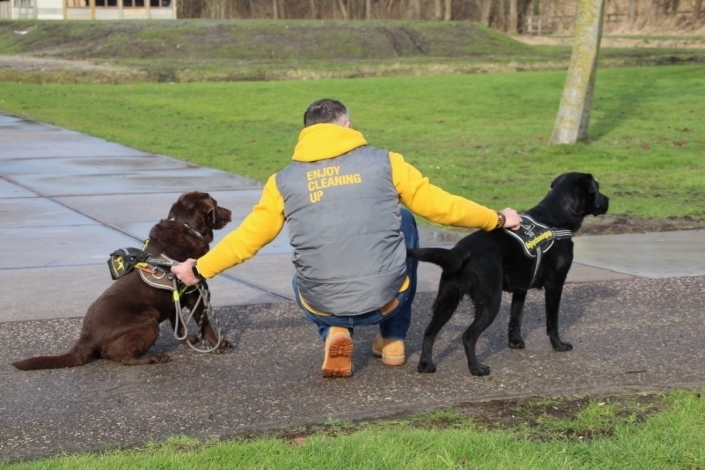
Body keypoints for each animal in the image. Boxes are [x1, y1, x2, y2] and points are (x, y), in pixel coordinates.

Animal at [11, 192, 231, 370]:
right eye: (216, 203)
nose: (230, 212)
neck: (186, 227)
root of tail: (86, 338)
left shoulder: (176, 297)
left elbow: (179, 324)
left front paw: (188, 340)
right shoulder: (194, 292)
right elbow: (205, 323)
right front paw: (218, 344)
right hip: (148, 320)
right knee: (124, 358)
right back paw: (154, 358)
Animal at [410, 174, 608, 376]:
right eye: (598, 189)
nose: (608, 200)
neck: (557, 216)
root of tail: (463, 249)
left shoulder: (521, 289)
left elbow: (516, 317)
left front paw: (515, 343)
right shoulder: (555, 284)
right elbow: (552, 321)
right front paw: (559, 345)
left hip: (447, 300)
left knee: (429, 331)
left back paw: (426, 364)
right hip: (490, 301)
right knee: (468, 336)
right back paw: (476, 368)